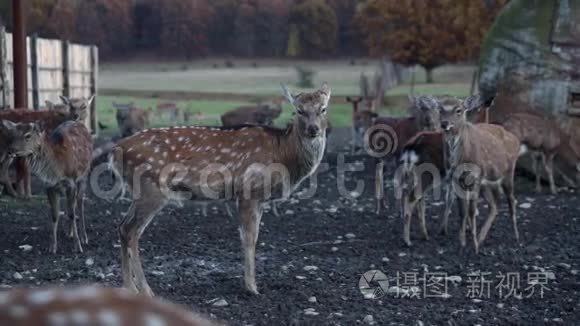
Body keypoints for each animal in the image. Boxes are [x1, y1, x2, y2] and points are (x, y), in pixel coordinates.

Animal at [0, 116, 93, 253]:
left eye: (28, 135)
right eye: (13, 135)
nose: (11, 151)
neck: (57, 170)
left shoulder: (71, 182)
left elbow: (71, 214)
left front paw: (78, 247)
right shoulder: (49, 186)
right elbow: (55, 214)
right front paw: (52, 247)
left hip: (84, 175)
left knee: (80, 204)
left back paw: (84, 237)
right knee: (73, 205)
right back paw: (69, 232)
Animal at [110, 83, 330, 296]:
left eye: (323, 108)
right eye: (299, 110)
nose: (313, 129)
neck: (283, 154)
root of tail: (116, 150)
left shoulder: (259, 198)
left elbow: (254, 236)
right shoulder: (248, 190)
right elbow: (249, 238)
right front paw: (251, 287)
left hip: (140, 191)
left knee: (122, 226)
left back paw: (130, 287)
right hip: (152, 188)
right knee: (131, 231)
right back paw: (144, 289)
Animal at [440, 95, 520, 253]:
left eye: (458, 110)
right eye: (440, 109)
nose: (444, 123)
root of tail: (516, 140)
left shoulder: (475, 177)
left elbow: (471, 211)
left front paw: (474, 246)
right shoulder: (455, 179)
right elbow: (462, 211)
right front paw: (462, 243)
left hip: (508, 173)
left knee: (511, 200)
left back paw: (516, 237)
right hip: (487, 183)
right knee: (494, 205)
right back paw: (482, 237)